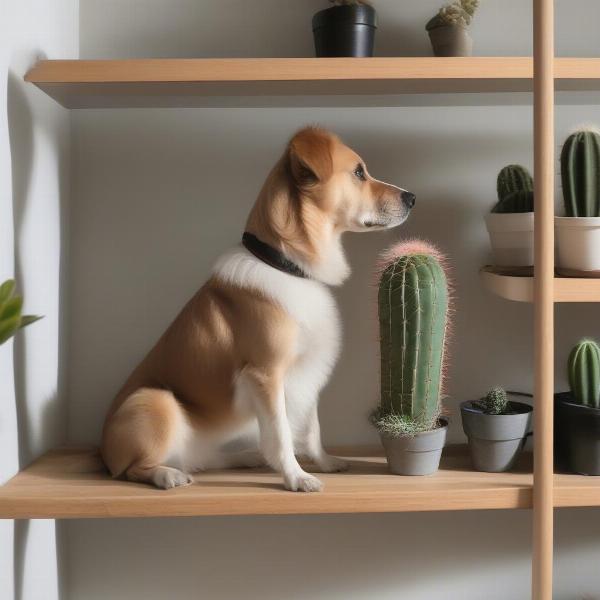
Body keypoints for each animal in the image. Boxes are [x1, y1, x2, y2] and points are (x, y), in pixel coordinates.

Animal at [101, 126, 414, 492]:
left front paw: (323, 463)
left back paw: (244, 456)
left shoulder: (306, 375)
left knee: (204, 459)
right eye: (358, 172)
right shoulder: (267, 374)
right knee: (132, 469)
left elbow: (311, 428)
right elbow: (280, 434)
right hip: (156, 400)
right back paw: (167, 475)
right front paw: (296, 477)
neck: (286, 264)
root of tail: (102, 450)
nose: (411, 197)